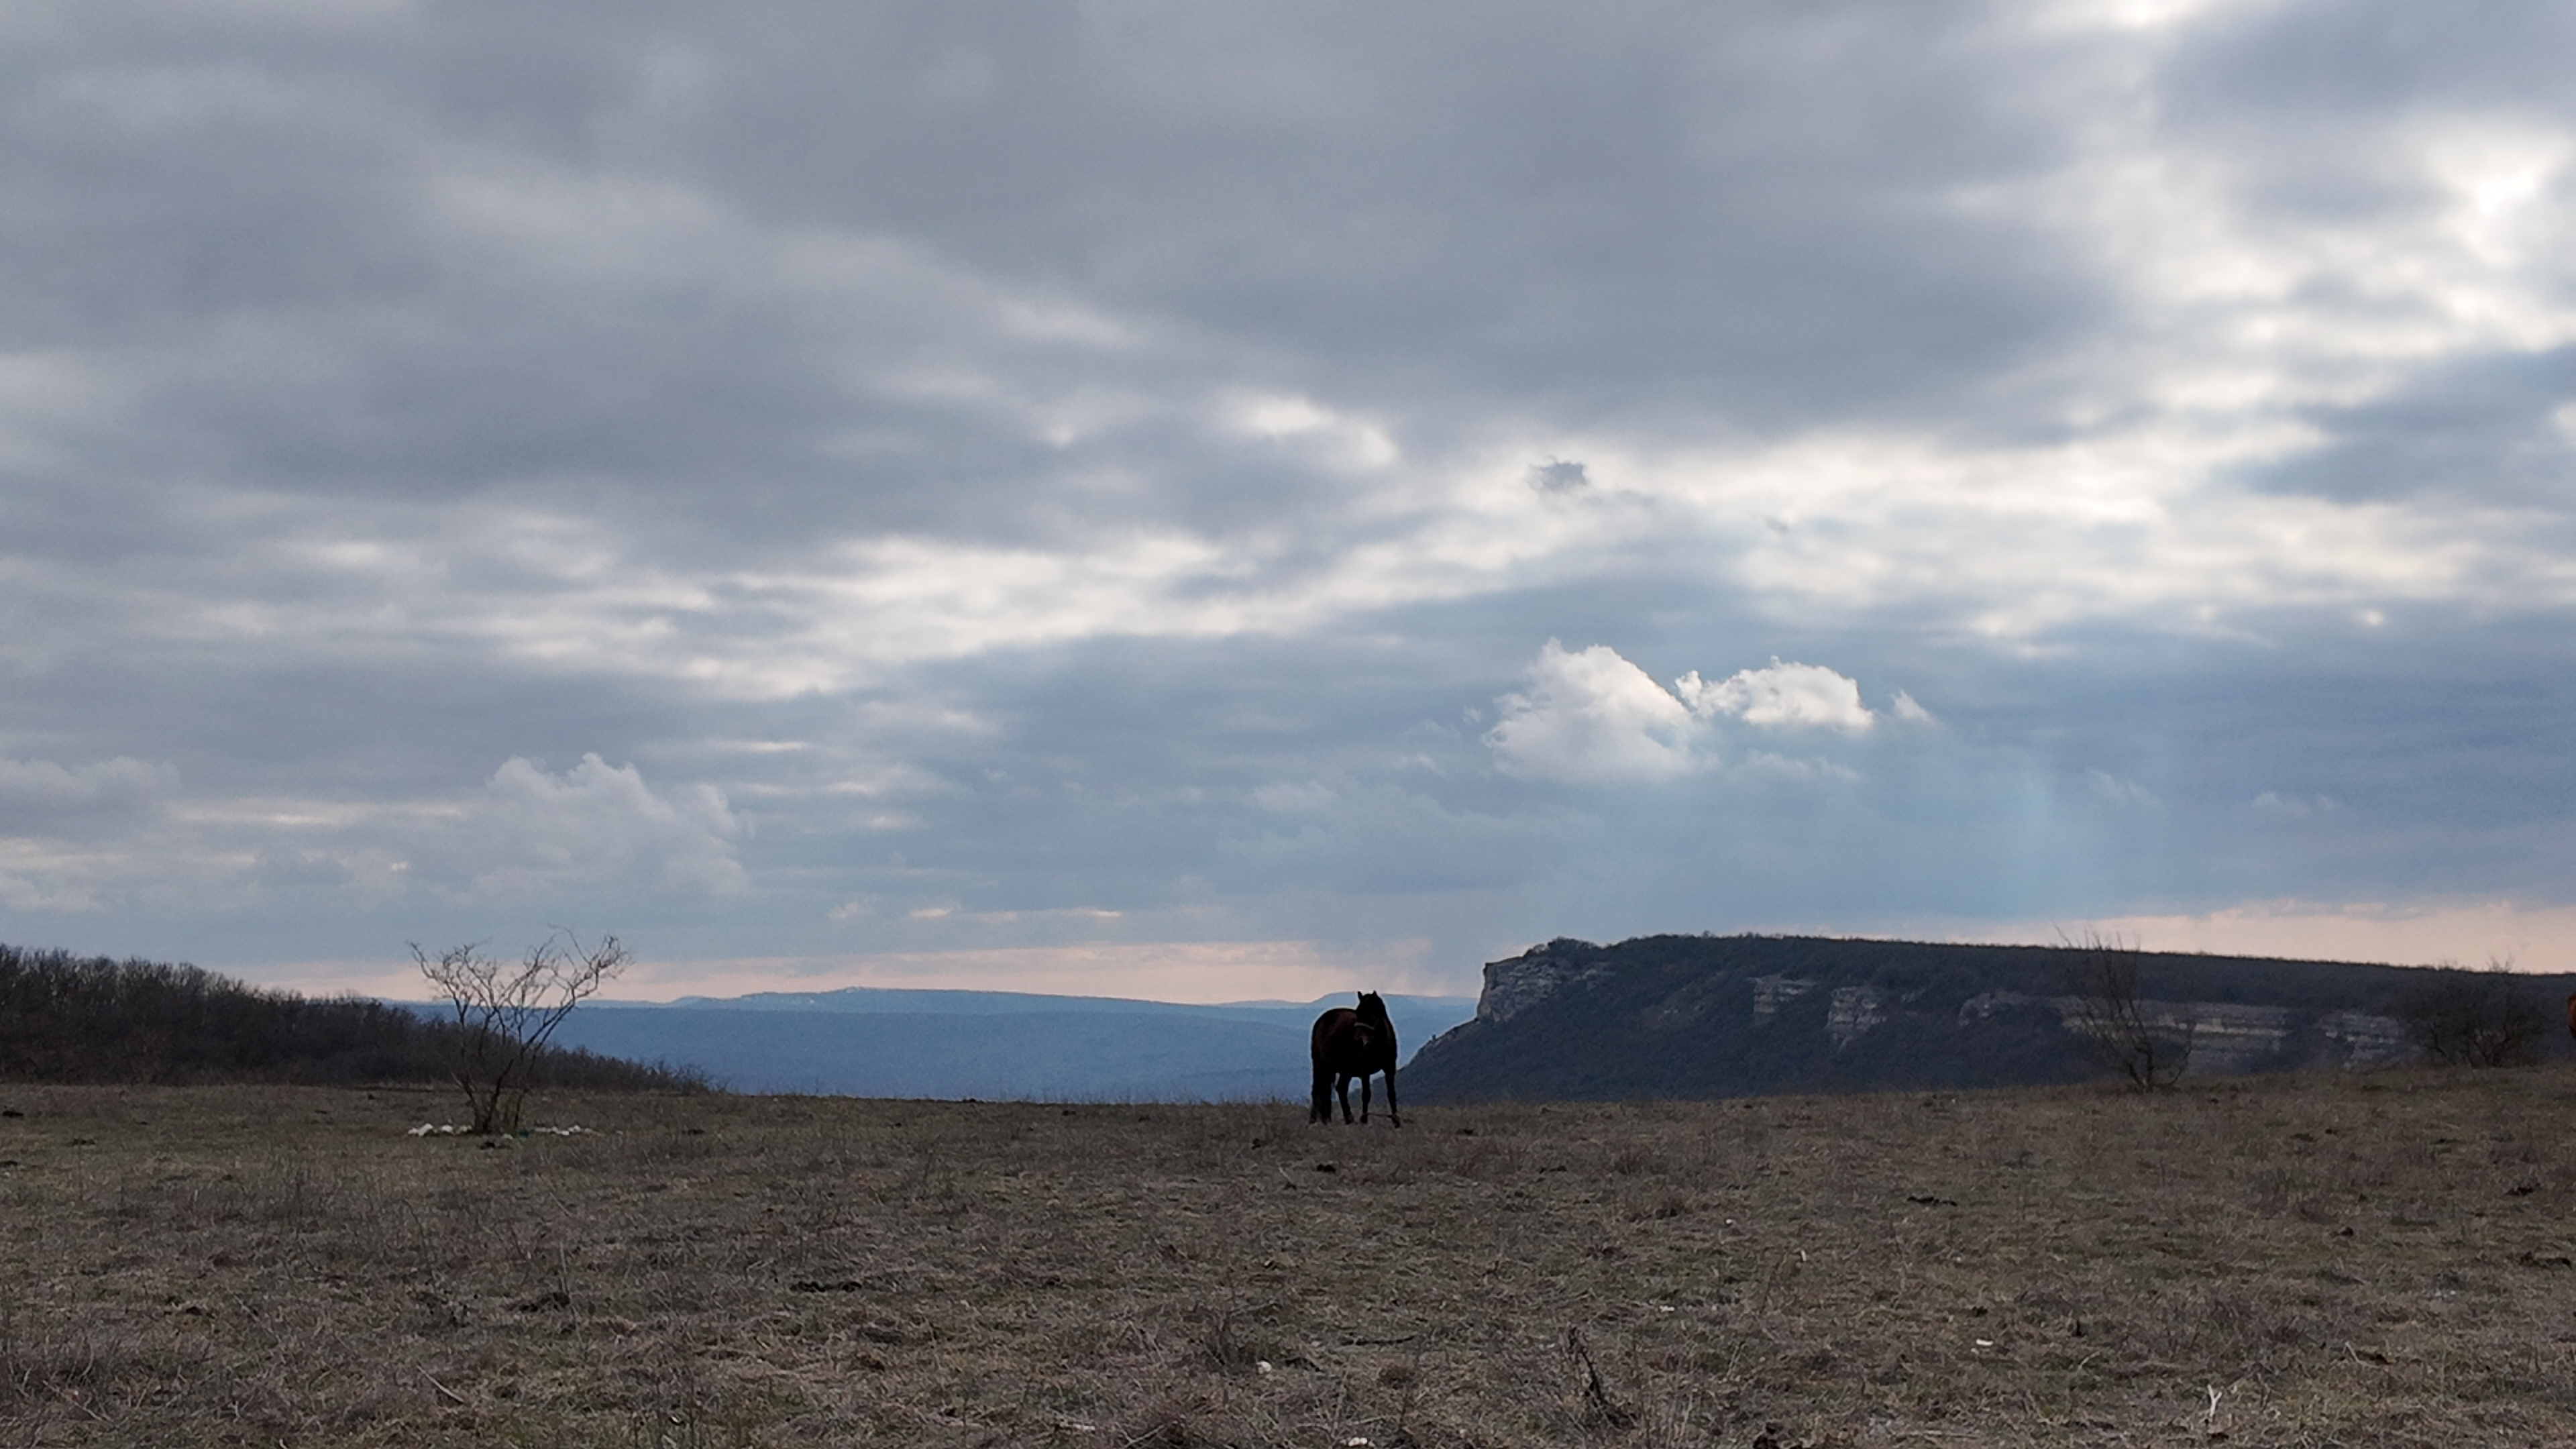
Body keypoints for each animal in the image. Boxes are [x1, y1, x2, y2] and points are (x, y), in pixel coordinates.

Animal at [1311, 990, 1400, 1127]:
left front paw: (1396, 1120)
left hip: (1344, 1070)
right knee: (1318, 1090)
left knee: (1338, 1089)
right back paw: (1316, 1120)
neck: (1379, 1044)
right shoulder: (1365, 1070)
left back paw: (1346, 1118)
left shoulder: (1390, 1068)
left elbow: (1391, 1093)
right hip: (1321, 1065)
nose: (1358, 1039)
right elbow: (1366, 1094)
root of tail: (1321, 1020)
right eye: (1358, 1013)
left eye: (1372, 1015)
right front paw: (1364, 1119)